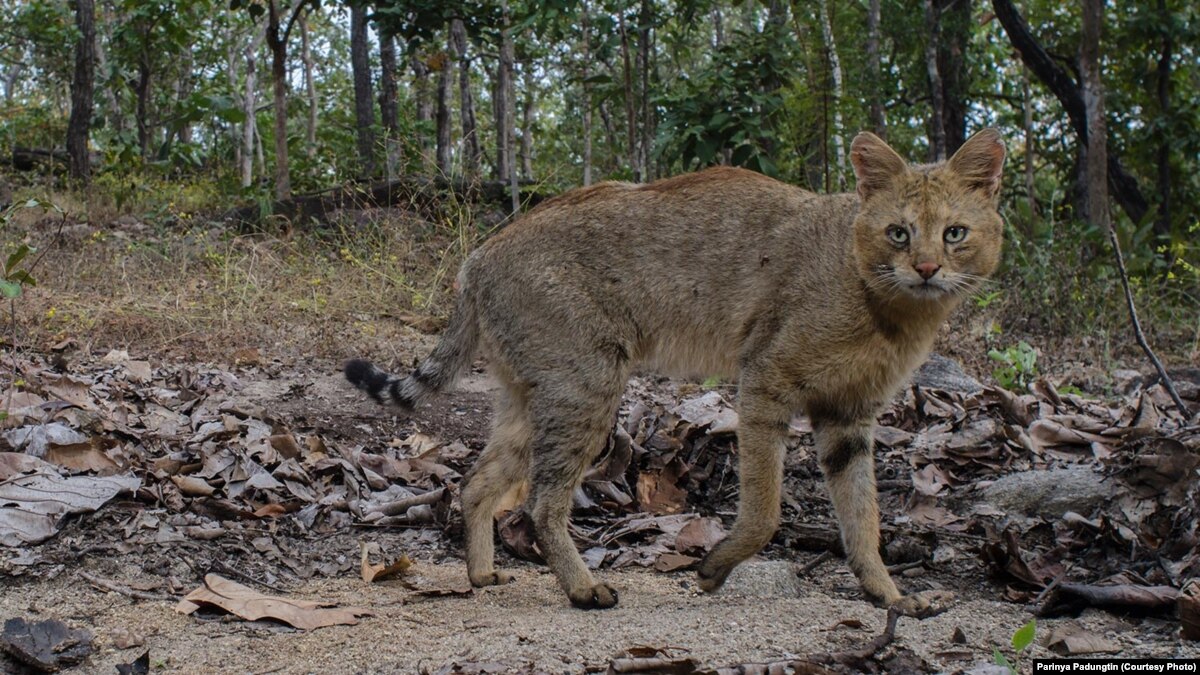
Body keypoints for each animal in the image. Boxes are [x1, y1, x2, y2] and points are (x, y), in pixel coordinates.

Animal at [345, 128, 1003, 612]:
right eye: (898, 233)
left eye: (954, 233)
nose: (925, 268)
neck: (883, 304)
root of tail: (478, 255)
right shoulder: (764, 384)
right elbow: (765, 511)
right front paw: (713, 570)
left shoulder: (850, 418)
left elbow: (863, 519)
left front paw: (887, 595)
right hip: (587, 389)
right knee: (541, 501)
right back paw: (582, 587)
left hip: (533, 399)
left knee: (477, 484)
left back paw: (482, 574)